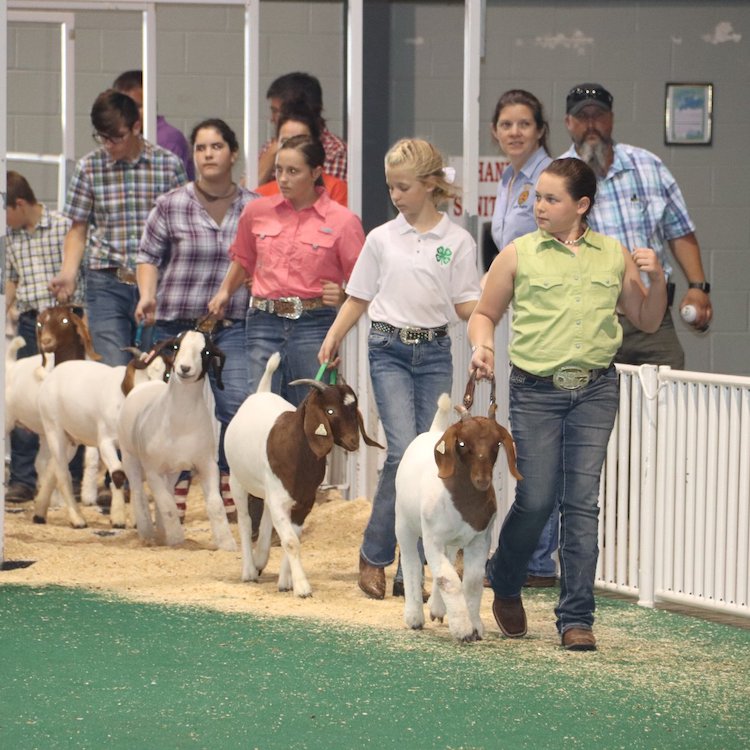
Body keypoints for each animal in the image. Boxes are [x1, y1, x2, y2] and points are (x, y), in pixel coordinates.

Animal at [117, 330, 236, 552]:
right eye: (175, 346)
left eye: (206, 351)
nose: (185, 368)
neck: (181, 422)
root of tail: (144, 385)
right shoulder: (153, 469)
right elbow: (167, 505)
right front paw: (176, 539)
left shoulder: (207, 464)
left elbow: (215, 504)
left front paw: (227, 543)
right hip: (131, 458)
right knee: (139, 494)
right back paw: (147, 533)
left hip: (172, 471)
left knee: (166, 494)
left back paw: (161, 532)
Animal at [394, 390, 524, 644]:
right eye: (463, 443)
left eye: (497, 444)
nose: (482, 479)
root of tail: (433, 431)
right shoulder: (432, 539)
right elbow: (448, 579)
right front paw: (462, 628)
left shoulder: (480, 540)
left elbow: (471, 582)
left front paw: (475, 626)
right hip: (403, 524)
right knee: (412, 563)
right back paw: (414, 616)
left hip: (452, 541)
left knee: (448, 559)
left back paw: (437, 608)